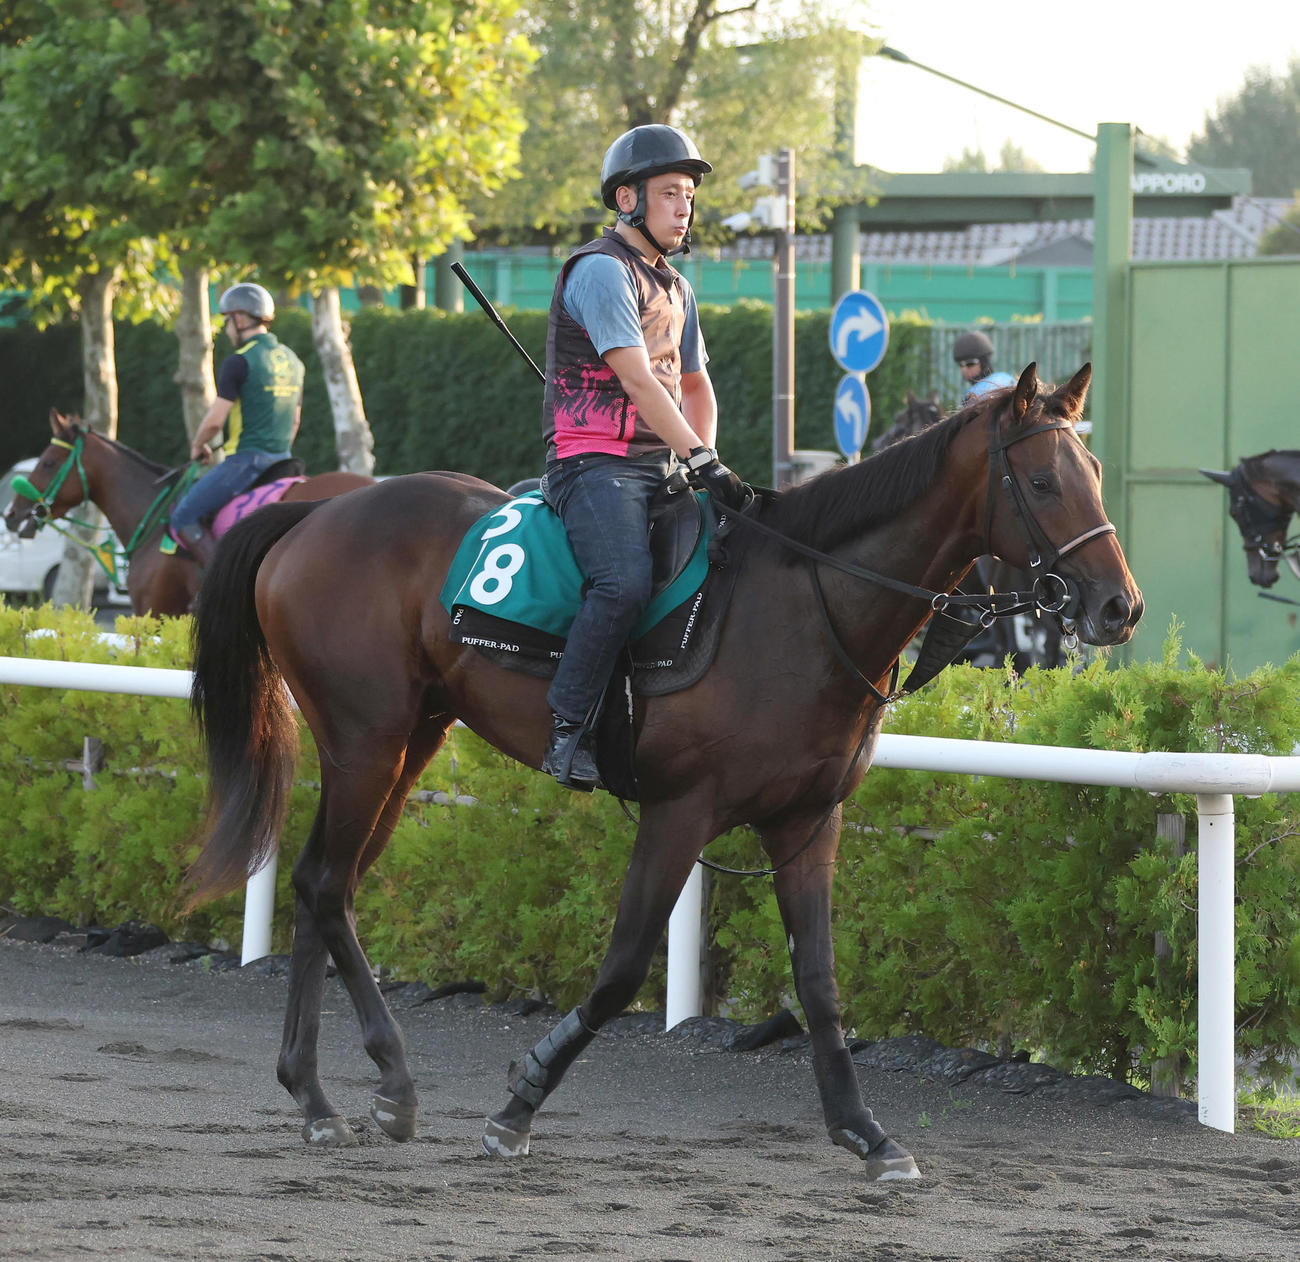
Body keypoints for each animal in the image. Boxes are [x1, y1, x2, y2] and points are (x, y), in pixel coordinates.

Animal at [185, 363, 1141, 1181]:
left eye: (1094, 469)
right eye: (1043, 483)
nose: (1118, 607)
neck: (806, 603)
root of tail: (315, 515)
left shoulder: (807, 820)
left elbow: (821, 983)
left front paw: (867, 1134)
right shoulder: (680, 811)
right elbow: (621, 969)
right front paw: (520, 1102)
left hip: (408, 740)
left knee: (323, 884)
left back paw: (315, 1097)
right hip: (368, 739)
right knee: (327, 884)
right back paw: (388, 1081)